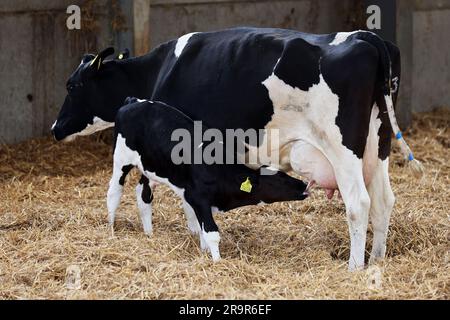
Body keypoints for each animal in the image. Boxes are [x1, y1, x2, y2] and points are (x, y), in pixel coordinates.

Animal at [107, 97, 310, 260]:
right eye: (280, 180)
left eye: (285, 174)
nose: (304, 184)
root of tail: (134, 101)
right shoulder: (199, 199)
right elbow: (212, 233)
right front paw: (217, 261)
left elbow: (202, 229)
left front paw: (204, 252)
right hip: (121, 159)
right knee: (114, 192)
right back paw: (111, 228)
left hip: (150, 166)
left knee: (143, 195)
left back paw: (149, 233)